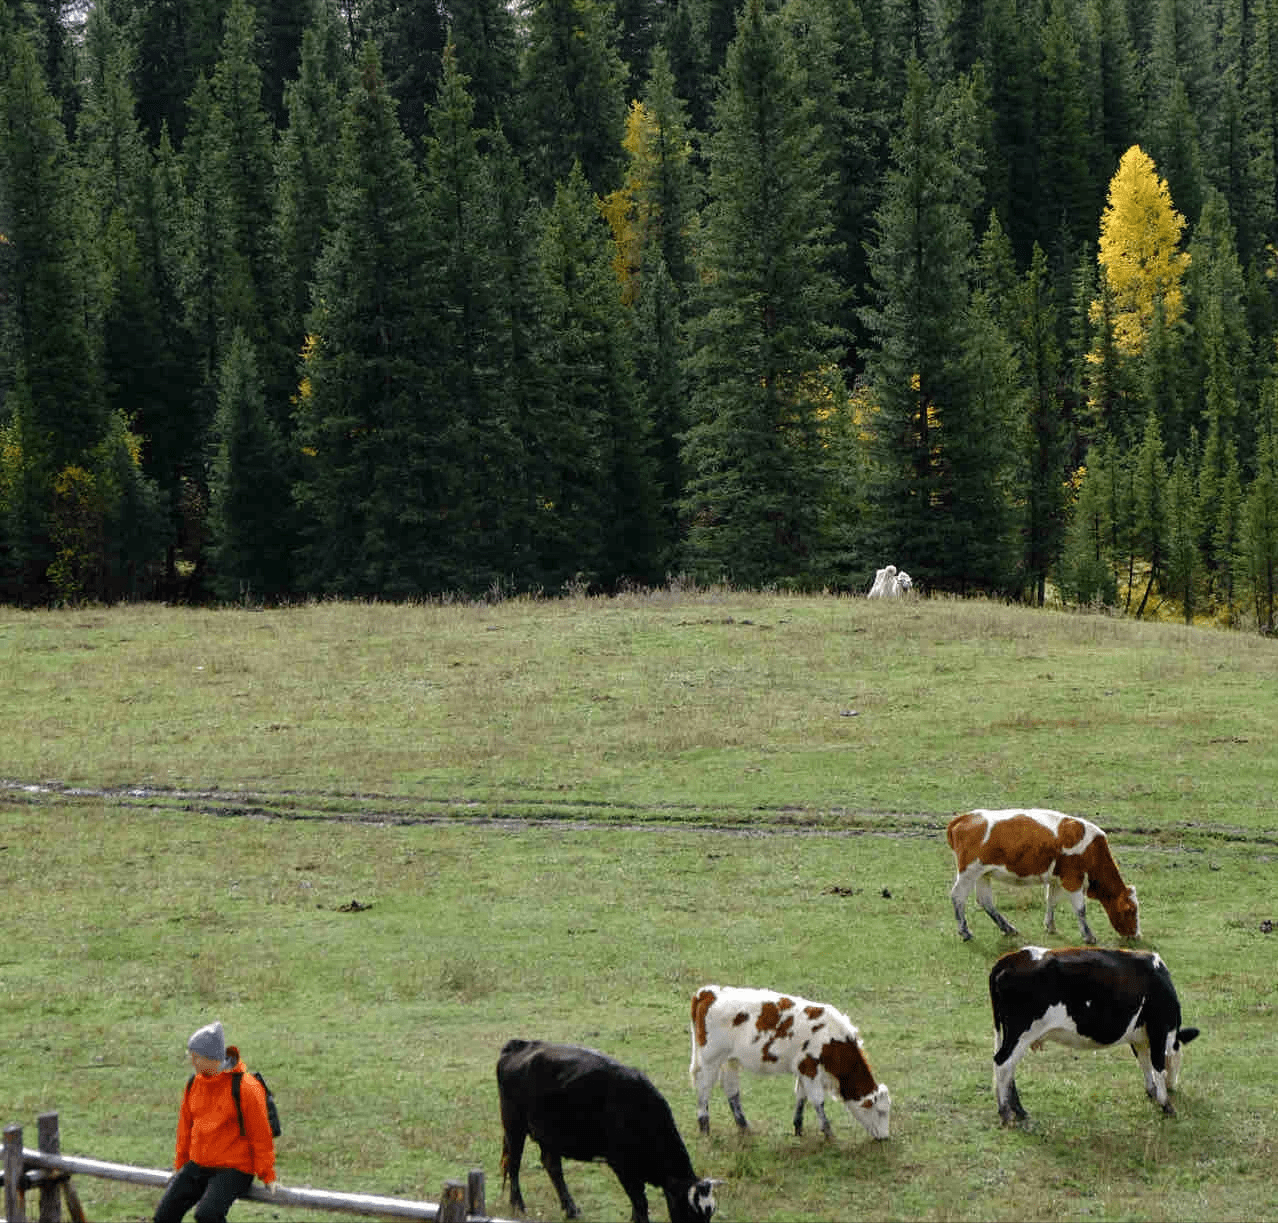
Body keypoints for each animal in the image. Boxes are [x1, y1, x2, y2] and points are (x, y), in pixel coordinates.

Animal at [495, 1042, 720, 1221]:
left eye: (710, 1213)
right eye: (692, 1212)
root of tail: (520, 1046)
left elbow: (639, 1203)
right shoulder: (622, 1165)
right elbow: (640, 1202)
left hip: (549, 1135)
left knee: (552, 1166)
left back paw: (571, 1209)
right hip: (514, 1126)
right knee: (514, 1164)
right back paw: (518, 1205)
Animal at [690, 981, 889, 1145]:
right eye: (880, 1112)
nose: (885, 1137)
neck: (830, 1038)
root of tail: (709, 992)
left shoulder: (803, 1069)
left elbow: (801, 1097)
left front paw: (798, 1128)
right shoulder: (809, 1068)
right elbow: (818, 1100)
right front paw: (829, 1133)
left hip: (730, 1060)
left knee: (731, 1090)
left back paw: (744, 1126)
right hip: (711, 1059)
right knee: (704, 1088)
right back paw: (704, 1127)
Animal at [945, 812, 1145, 945]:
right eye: (1130, 910)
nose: (1136, 935)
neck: (1092, 850)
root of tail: (964, 817)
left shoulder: (1056, 879)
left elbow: (1051, 901)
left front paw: (1050, 926)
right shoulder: (1073, 880)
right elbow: (1080, 909)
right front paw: (1088, 936)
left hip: (983, 873)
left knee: (985, 901)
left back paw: (1008, 928)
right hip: (969, 872)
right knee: (957, 896)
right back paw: (965, 931)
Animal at [986, 945, 1196, 1124]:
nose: (1173, 1087)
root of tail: (1012, 957)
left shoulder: (1139, 1037)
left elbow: (1145, 1063)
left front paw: (1152, 1091)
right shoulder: (1159, 1029)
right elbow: (1158, 1065)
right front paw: (1166, 1104)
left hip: (1012, 1034)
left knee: (1007, 1066)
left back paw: (1018, 1111)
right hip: (1021, 1032)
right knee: (1003, 1063)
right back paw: (1006, 1113)